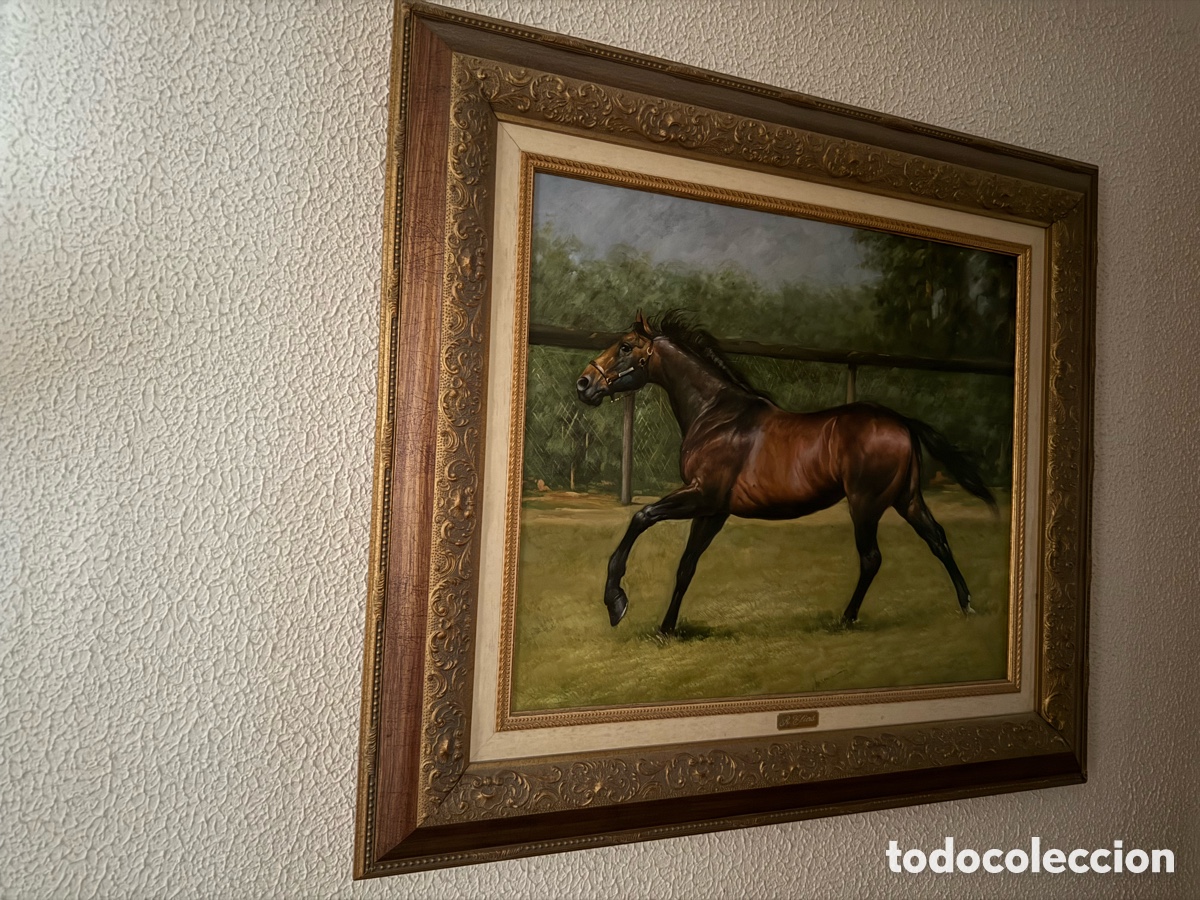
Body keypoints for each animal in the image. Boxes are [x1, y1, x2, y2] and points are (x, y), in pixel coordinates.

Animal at [575, 310, 997, 635]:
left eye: (626, 346)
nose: (584, 383)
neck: (716, 415)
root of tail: (901, 422)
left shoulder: (701, 495)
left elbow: (641, 517)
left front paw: (616, 602)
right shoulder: (713, 511)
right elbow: (685, 568)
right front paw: (666, 628)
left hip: (866, 503)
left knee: (872, 557)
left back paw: (847, 618)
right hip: (906, 499)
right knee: (938, 539)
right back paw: (967, 605)